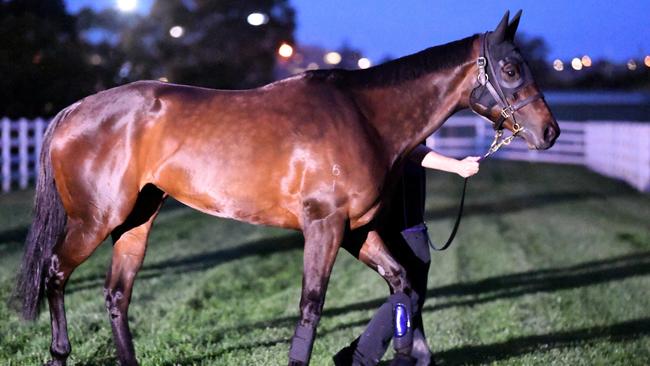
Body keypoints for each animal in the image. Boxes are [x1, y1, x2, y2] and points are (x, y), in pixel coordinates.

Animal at [11, 10, 556, 364]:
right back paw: (58, 353)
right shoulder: (325, 227)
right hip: (95, 220)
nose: (549, 132)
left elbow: (403, 284)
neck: (362, 115)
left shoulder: (356, 230)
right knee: (56, 273)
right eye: (511, 68)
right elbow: (311, 305)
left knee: (116, 296)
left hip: (136, 221)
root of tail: (72, 112)